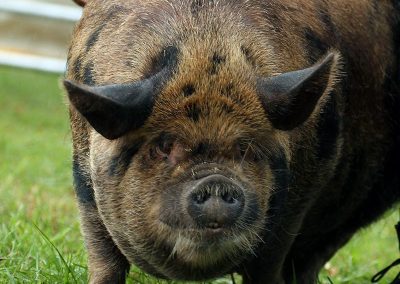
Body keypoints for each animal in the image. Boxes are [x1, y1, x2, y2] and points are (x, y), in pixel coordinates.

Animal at [63, 0, 400, 284]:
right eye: (164, 146)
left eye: (245, 148)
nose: (215, 181)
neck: (204, 43)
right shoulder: (85, 183)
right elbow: (105, 260)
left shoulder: (297, 203)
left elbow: (268, 265)